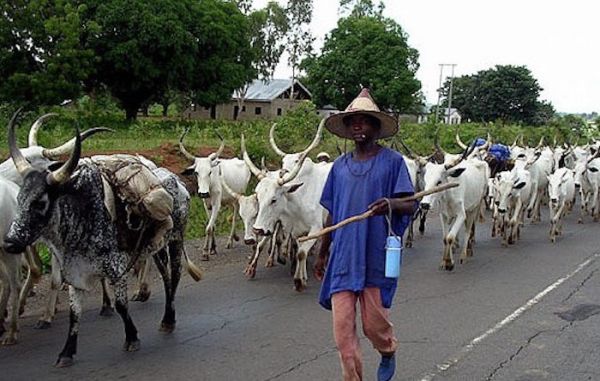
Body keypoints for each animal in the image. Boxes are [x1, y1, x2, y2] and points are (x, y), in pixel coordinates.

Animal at [179, 129, 252, 260]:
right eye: (196, 172)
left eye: (209, 172)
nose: (203, 193)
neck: (211, 184)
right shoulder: (206, 205)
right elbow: (211, 226)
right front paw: (212, 248)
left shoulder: (216, 204)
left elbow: (208, 228)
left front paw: (205, 252)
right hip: (230, 199)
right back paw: (234, 237)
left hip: (239, 196)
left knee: (235, 217)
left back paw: (230, 241)